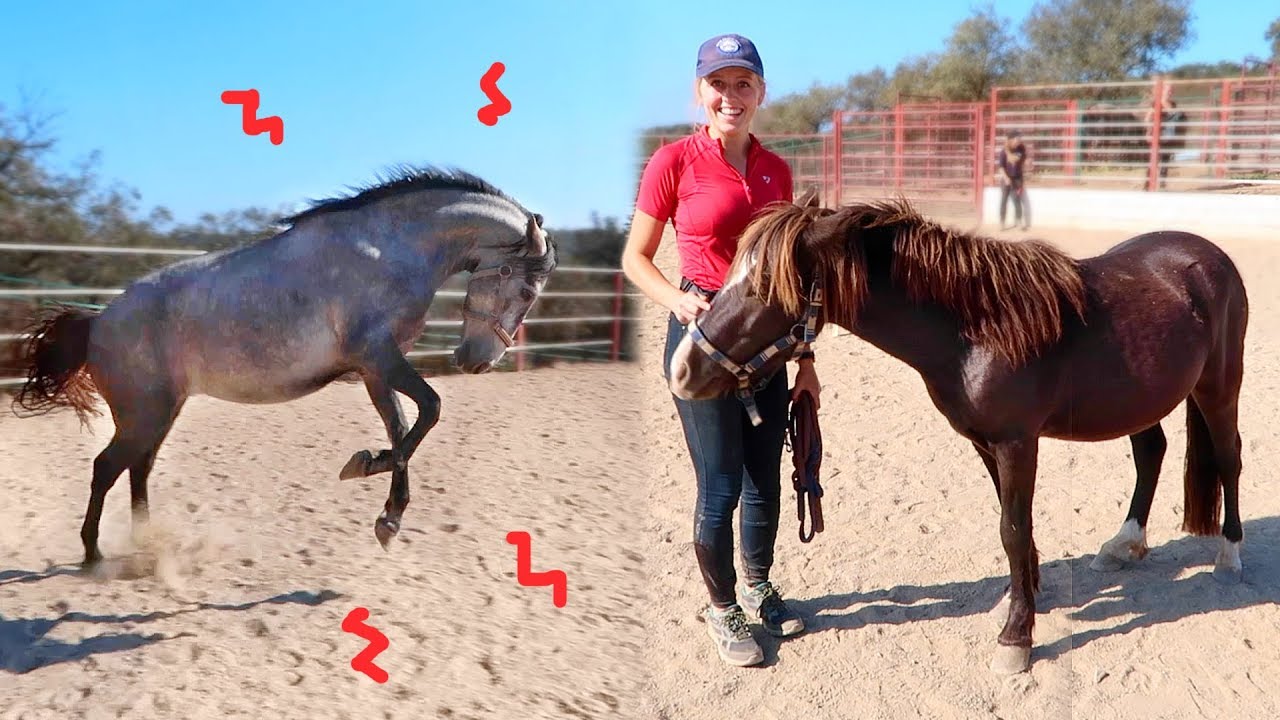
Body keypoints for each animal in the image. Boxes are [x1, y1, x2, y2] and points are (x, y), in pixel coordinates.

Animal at [10, 165, 558, 566]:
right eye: (525, 291)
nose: (477, 363)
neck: (389, 248)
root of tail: (98, 321)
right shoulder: (379, 356)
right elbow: (430, 409)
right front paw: (369, 476)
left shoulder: (374, 368)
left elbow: (404, 428)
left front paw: (385, 510)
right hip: (143, 414)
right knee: (107, 468)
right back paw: (93, 554)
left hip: (161, 412)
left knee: (138, 468)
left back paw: (146, 542)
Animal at [667, 192, 1248, 674]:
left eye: (764, 286)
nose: (682, 369)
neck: (976, 329)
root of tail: (1209, 256)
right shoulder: (985, 442)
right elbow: (1014, 527)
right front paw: (1026, 598)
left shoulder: (1017, 442)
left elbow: (1012, 529)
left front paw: (1016, 638)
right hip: (1140, 401)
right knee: (1151, 451)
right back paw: (1125, 544)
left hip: (1219, 388)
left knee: (1229, 456)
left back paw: (1230, 555)